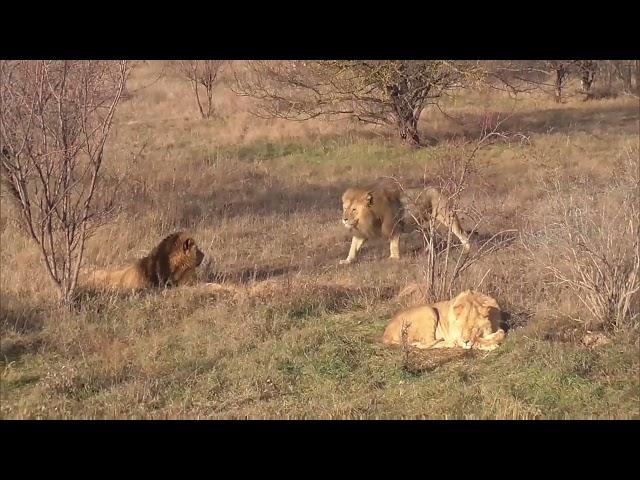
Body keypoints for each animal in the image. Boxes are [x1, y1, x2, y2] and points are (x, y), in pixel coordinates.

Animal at [340, 178, 470, 264]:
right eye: (345, 208)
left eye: (354, 209)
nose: (344, 219)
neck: (371, 215)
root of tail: (439, 188)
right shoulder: (362, 231)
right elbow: (353, 247)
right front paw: (347, 260)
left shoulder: (392, 226)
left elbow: (393, 244)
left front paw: (394, 258)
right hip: (425, 224)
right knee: (430, 236)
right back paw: (427, 251)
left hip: (447, 216)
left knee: (461, 232)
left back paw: (467, 249)